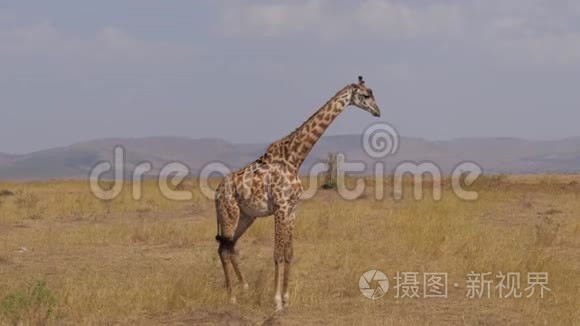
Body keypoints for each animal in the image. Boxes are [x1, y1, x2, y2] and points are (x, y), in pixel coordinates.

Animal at [214, 75, 380, 310]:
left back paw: (244, 287)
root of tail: (216, 193)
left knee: (230, 247)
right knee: (223, 249)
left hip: (246, 217)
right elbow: (277, 254)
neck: (294, 158)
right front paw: (276, 302)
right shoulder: (281, 207)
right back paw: (231, 296)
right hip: (229, 214)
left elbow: (289, 253)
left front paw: (286, 298)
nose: (378, 111)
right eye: (366, 95)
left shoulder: (292, 210)